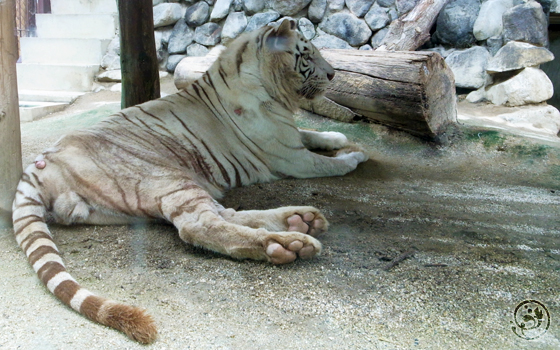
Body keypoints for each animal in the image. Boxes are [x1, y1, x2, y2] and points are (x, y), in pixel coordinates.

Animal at [12, 19, 368, 342]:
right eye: (307, 54)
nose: (333, 74)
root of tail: (41, 164)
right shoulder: (291, 156)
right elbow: (331, 165)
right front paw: (355, 155)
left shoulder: (290, 139)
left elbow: (311, 133)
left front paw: (337, 137)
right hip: (168, 177)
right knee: (200, 226)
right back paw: (287, 243)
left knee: (226, 214)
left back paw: (300, 220)